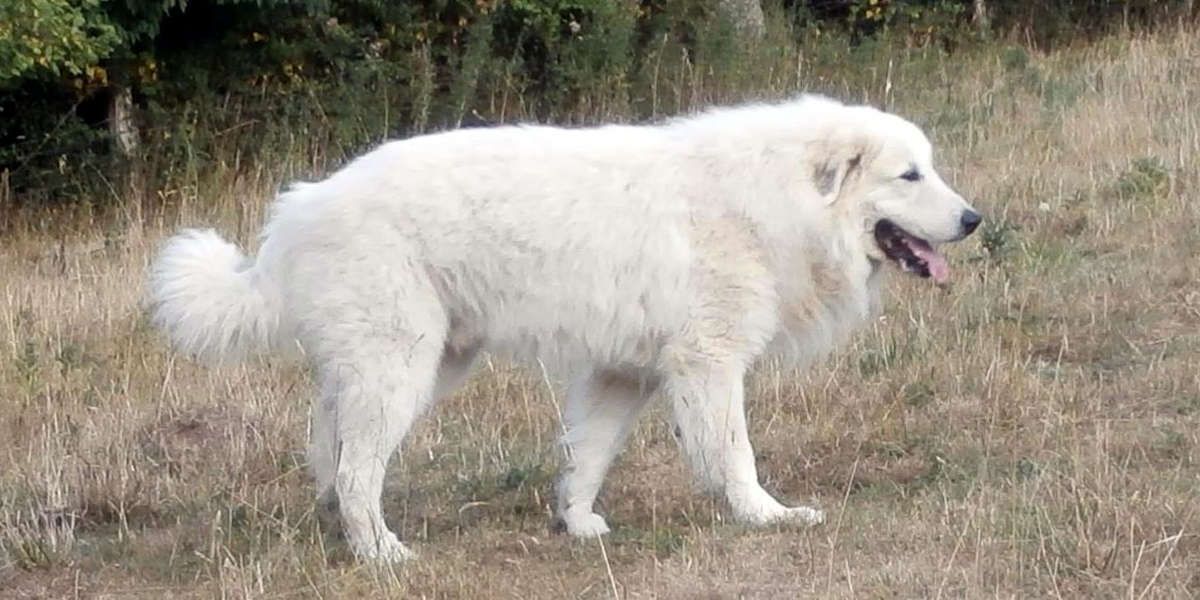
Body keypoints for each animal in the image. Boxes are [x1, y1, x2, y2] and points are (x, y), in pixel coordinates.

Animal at [145, 94, 979, 561]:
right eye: (909, 176)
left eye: (931, 168)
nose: (974, 220)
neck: (775, 199)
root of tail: (302, 207)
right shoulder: (709, 364)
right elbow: (734, 454)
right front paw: (765, 517)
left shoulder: (623, 373)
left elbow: (588, 455)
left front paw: (576, 525)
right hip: (401, 367)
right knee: (356, 470)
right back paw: (381, 552)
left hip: (415, 364)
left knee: (331, 448)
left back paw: (341, 532)